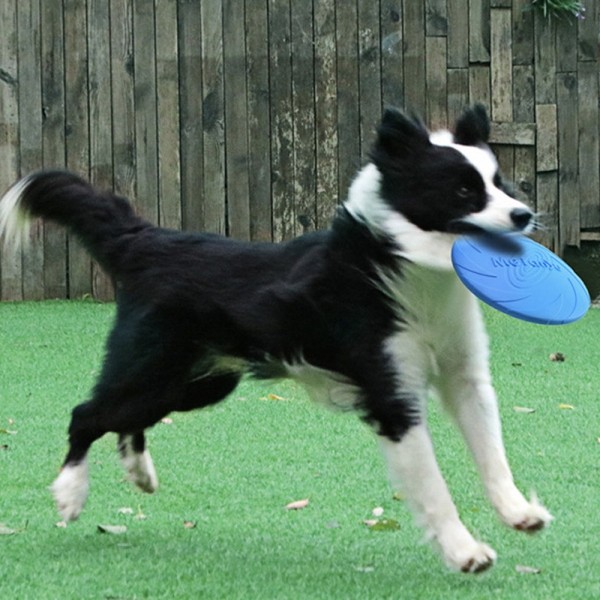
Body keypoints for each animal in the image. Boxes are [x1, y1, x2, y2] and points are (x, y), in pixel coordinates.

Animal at [0, 105, 552, 572]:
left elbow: (492, 452)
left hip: (195, 383)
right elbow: (434, 487)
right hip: (154, 368)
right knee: (86, 413)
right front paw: (465, 552)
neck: (403, 267)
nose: (523, 214)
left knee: (124, 419)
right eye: (462, 191)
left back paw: (138, 472)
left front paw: (518, 512)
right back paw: (70, 493)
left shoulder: (465, 377)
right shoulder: (392, 398)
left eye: (499, 183)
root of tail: (148, 240)